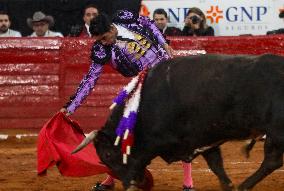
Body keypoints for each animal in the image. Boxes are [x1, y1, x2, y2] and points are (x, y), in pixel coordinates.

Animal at [81, 54, 284, 191]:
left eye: (107, 154)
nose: (130, 184)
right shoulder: (206, 136)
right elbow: (216, 164)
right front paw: (228, 185)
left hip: (276, 131)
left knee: (272, 161)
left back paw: (245, 185)